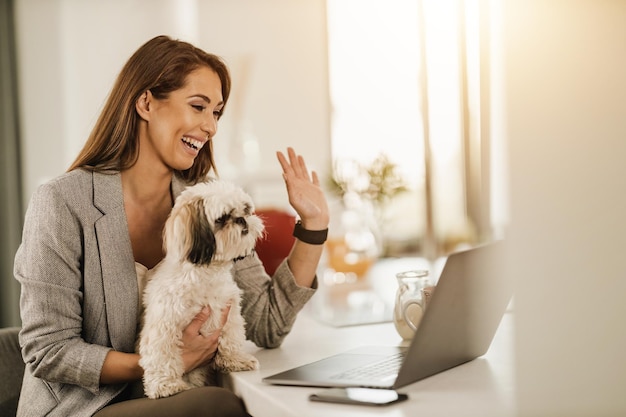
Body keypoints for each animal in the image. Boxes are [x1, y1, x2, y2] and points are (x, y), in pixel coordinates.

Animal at [136, 178, 264, 396]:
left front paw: (234, 359)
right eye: (223, 218)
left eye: (246, 210)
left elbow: (231, 337)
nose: (242, 219)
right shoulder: (164, 323)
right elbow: (162, 353)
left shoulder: (228, 311)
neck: (206, 273)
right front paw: (165, 385)